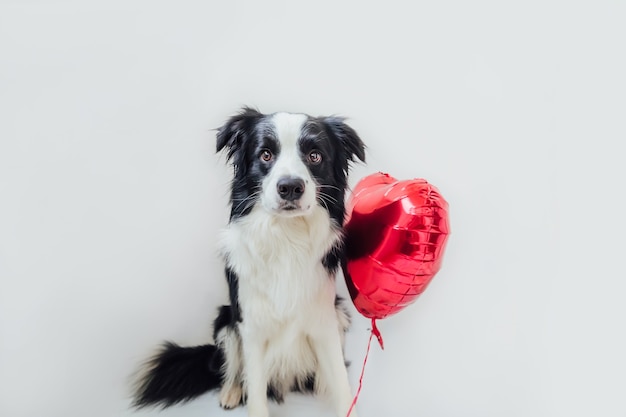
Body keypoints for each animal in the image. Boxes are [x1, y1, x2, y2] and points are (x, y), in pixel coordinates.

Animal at [133, 108, 366, 416]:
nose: (290, 187)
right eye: (265, 155)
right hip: (225, 322)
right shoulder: (251, 324)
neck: (286, 237)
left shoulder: (324, 320)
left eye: (315, 156)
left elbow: (341, 384)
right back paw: (231, 392)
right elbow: (255, 387)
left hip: (340, 314)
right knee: (234, 369)